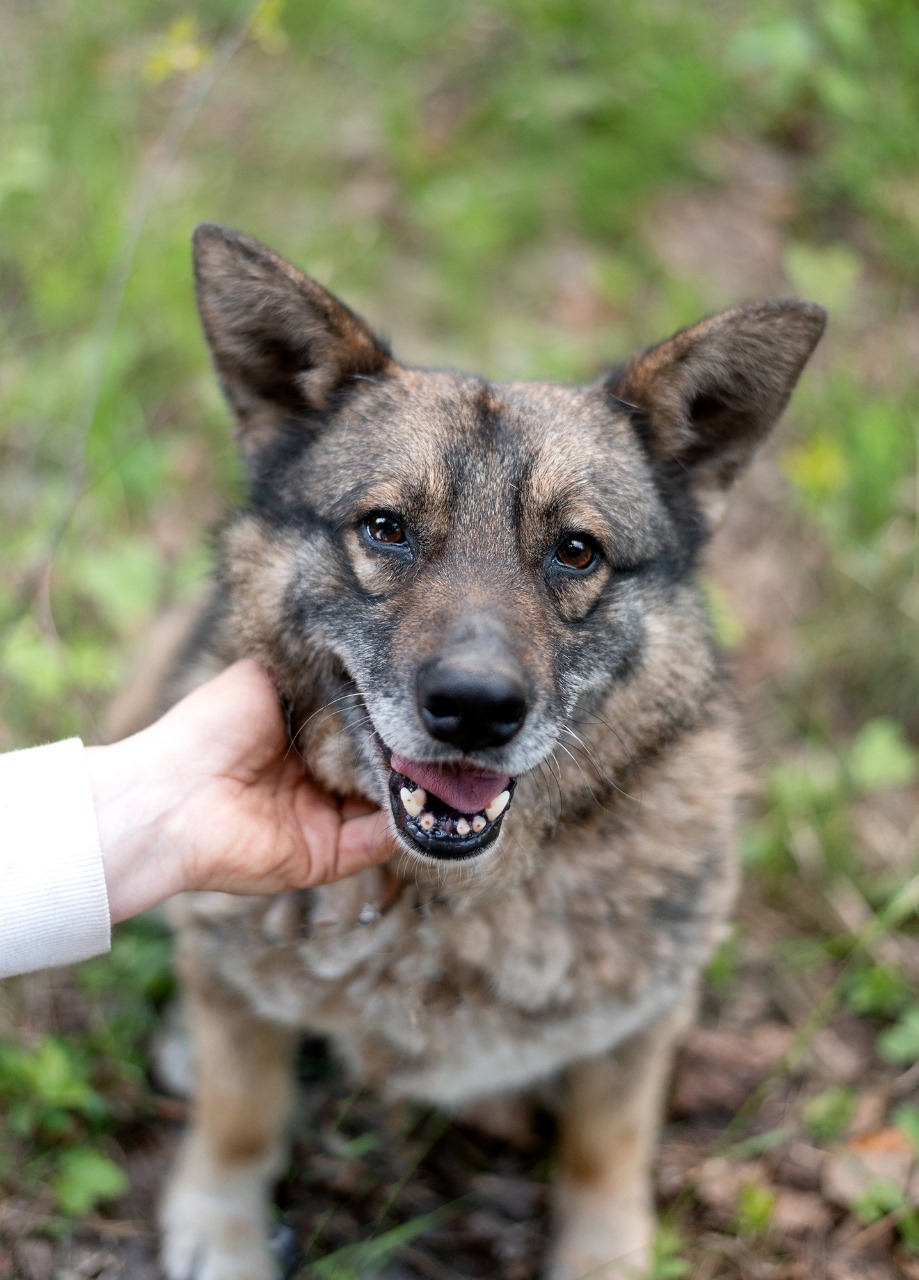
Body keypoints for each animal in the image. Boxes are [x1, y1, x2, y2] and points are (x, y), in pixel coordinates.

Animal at [145, 225, 829, 1274]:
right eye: (384, 528)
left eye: (576, 551)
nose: (472, 709)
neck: (443, 904)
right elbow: (241, 1106)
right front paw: (220, 1221)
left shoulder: (637, 1026)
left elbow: (604, 1146)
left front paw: (603, 1254)